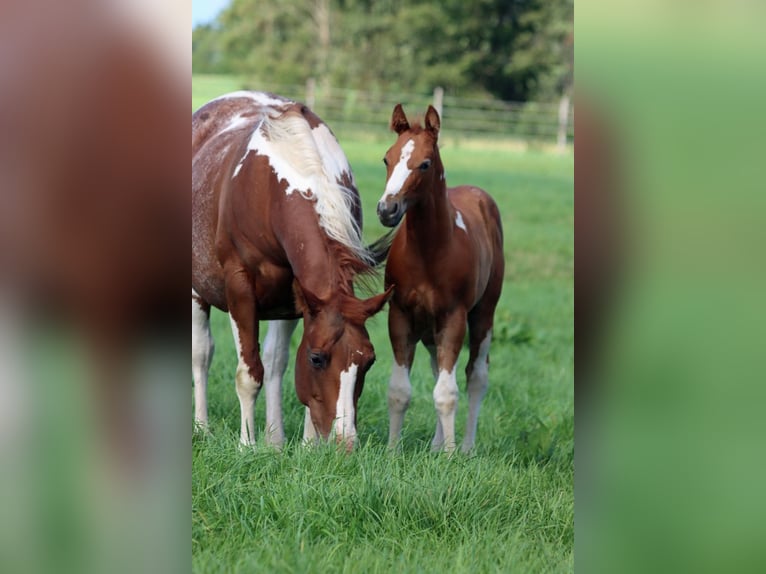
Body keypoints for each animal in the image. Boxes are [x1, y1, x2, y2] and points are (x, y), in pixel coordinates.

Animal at [194, 91, 390, 450]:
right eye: (317, 358)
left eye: (368, 361)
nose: (345, 444)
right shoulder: (239, 289)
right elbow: (249, 373)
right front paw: (247, 445)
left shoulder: (297, 296)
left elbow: (277, 366)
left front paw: (305, 446)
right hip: (198, 290)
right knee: (201, 352)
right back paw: (202, 427)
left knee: (274, 361)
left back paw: (275, 439)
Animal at [376, 103, 508, 454]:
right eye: (387, 159)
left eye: (425, 163)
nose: (387, 209)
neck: (429, 252)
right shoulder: (400, 315)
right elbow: (399, 389)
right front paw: (392, 451)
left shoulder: (453, 316)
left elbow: (448, 393)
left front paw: (451, 457)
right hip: (430, 325)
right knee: (439, 368)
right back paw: (436, 445)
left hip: (483, 314)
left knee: (476, 375)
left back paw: (465, 447)